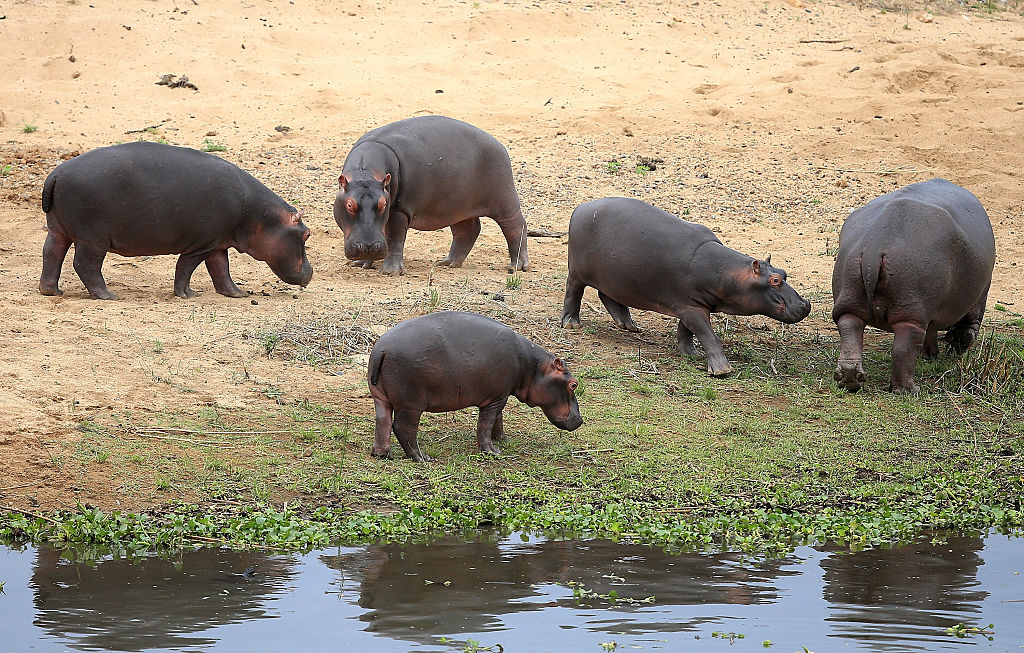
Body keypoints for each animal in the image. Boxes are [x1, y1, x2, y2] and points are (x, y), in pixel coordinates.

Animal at [38, 142, 311, 300]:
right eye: (307, 234)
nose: (311, 272)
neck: (259, 215)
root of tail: (56, 174)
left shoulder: (218, 242)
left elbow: (221, 270)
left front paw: (237, 294)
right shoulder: (202, 244)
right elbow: (186, 268)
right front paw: (187, 295)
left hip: (58, 229)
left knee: (51, 253)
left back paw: (51, 291)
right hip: (92, 238)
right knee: (85, 265)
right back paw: (108, 296)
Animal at [333, 117, 528, 276]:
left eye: (383, 204)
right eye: (349, 205)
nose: (368, 247)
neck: (365, 173)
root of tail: (498, 143)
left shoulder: (399, 209)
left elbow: (394, 238)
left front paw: (390, 272)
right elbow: (384, 236)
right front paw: (362, 264)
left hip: (504, 199)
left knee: (516, 226)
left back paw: (516, 266)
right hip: (457, 206)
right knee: (468, 230)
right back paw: (448, 263)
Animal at [366, 311, 585, 460]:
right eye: (573, 385)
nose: (581, 420)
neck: (533, 367)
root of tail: (381, 350)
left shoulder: (500, 394)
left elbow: (498, 420)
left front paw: (503, 440)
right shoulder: (496, 398)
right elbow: (486, 423)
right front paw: (492, 451)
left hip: (380, 397)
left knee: (382, 422)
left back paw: (382, 454)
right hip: (411, 403)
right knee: (403, 427)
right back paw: (422, 457)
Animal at [557, 196, 811, 376]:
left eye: (784, 273)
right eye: (775, 280)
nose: (805, 304)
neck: (726, 271)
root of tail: (580, 207)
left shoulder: (692, 305)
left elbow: (686, 331)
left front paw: (691, 354)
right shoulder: (692, 308)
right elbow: (708, 335)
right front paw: (722, 370)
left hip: (616, 277)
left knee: (607, 295)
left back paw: (630, 326)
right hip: (577, 271)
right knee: (573, 292)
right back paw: (571, 324)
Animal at [831, 176, 991, 397]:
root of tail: (874, 247)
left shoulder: (932, 310)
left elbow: (932, 331)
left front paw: (930, 355)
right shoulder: (976, 299)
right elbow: (967, 329)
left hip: (851, 296)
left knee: (849, 329)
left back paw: (849, 381)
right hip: (911, 313)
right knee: (904, 347)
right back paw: (909, 390)